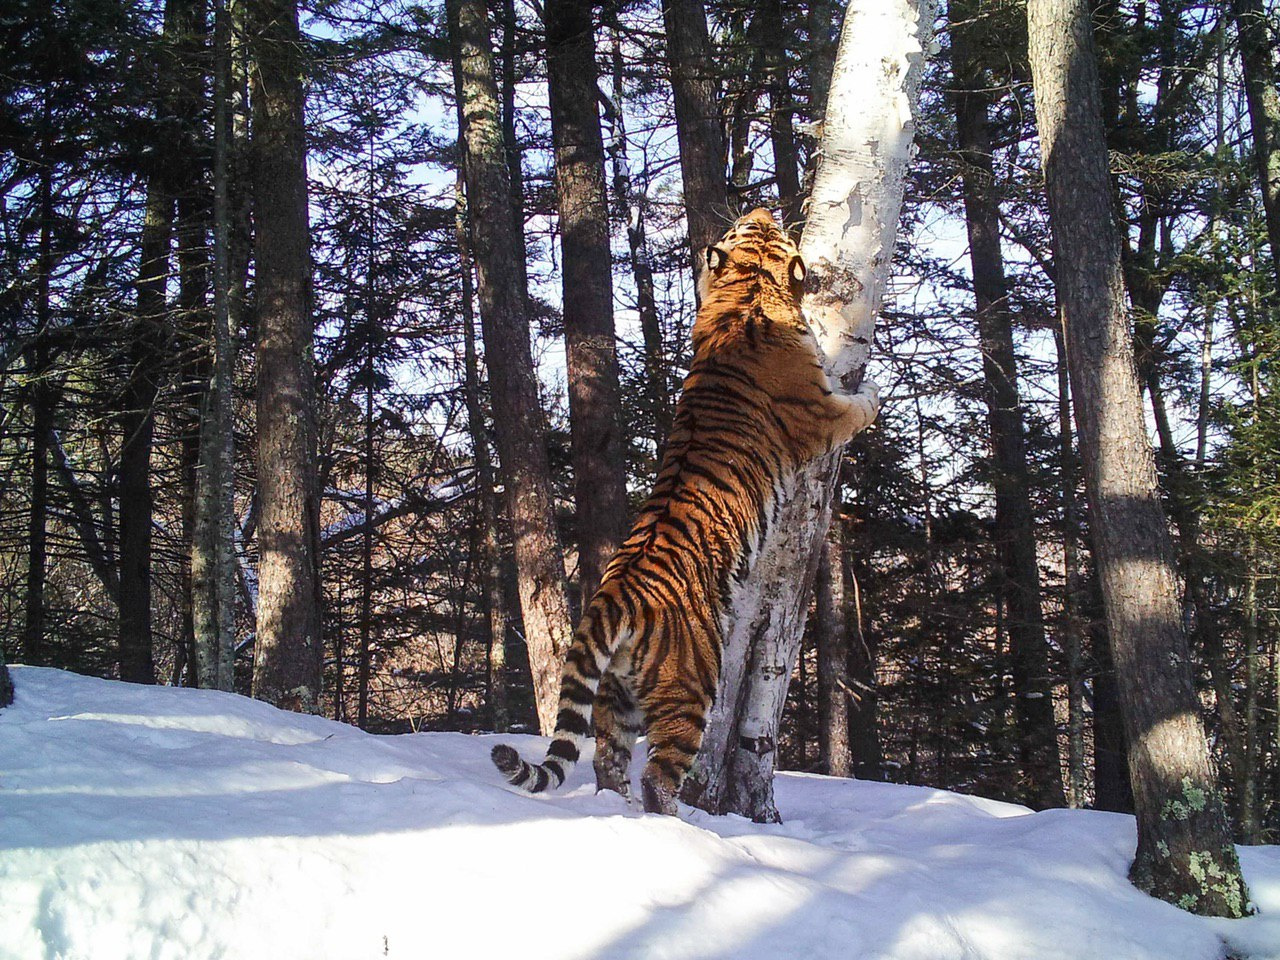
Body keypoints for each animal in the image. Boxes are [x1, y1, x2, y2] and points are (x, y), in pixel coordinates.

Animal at [491, 207, 880, 814]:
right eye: (757, 229)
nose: (762, 208)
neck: (746, 292)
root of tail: (614, 593)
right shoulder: (820, 412)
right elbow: (855, 407)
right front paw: (877, 391)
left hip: (617, 695)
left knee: (607, 759)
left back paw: (620, 810)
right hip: (691, 686)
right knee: (659, 773)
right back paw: (678, 822)